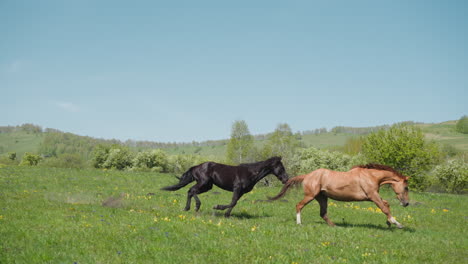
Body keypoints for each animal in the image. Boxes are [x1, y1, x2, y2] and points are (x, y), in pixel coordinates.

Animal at [270, 164, 410, 228]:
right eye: (406, 187)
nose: (406, 203)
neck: (371, 176)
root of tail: (307, 175)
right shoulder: (372, 196)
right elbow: (384, 208)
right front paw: (397, 224)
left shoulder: (374, 196)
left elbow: (386, 204)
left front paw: (389, 222)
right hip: (310, 196)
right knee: (299, 205)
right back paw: (299, 223)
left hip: (322, 198)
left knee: (323, 213)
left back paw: (335, 226)